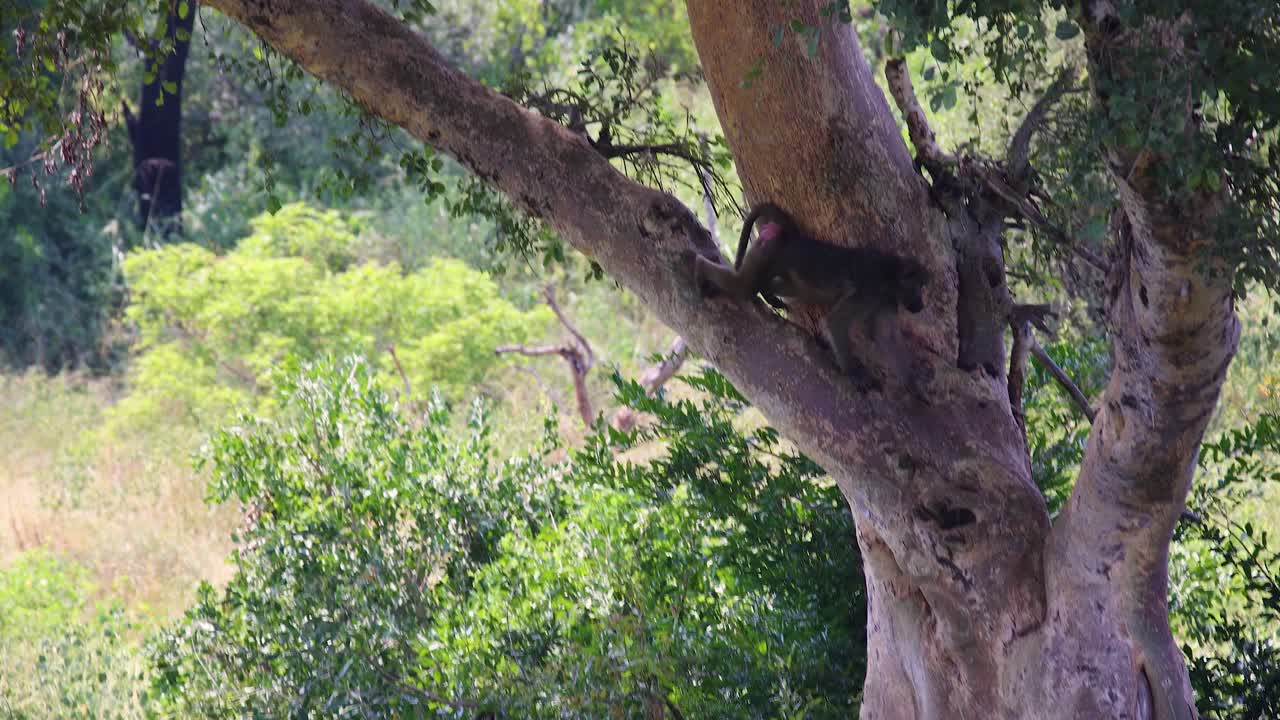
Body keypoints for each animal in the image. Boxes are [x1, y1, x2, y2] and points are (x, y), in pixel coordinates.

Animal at [694, 202, 930, 387]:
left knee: (785, 286)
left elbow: (886, 336)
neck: (889, 275)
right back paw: (699, 265)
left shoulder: (886, 301)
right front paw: (855, 374)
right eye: (918, 286)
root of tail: (788, 236)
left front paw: (913, 387)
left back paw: (768, 293)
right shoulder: (869, 290)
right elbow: (836, 321)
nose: (920, 305)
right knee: (743, 286)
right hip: (766, 251)